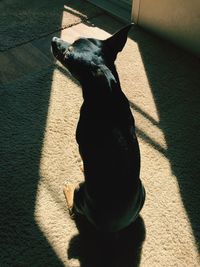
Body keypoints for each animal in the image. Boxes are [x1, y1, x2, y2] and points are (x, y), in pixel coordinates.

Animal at [51, 24, 145, 232]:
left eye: (68, 54)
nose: (54, 39)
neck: (106, 95)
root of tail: (113, 228)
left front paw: (82, 165)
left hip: (81, 193)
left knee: (72, 210)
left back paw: (69, 189)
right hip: (143, 190)